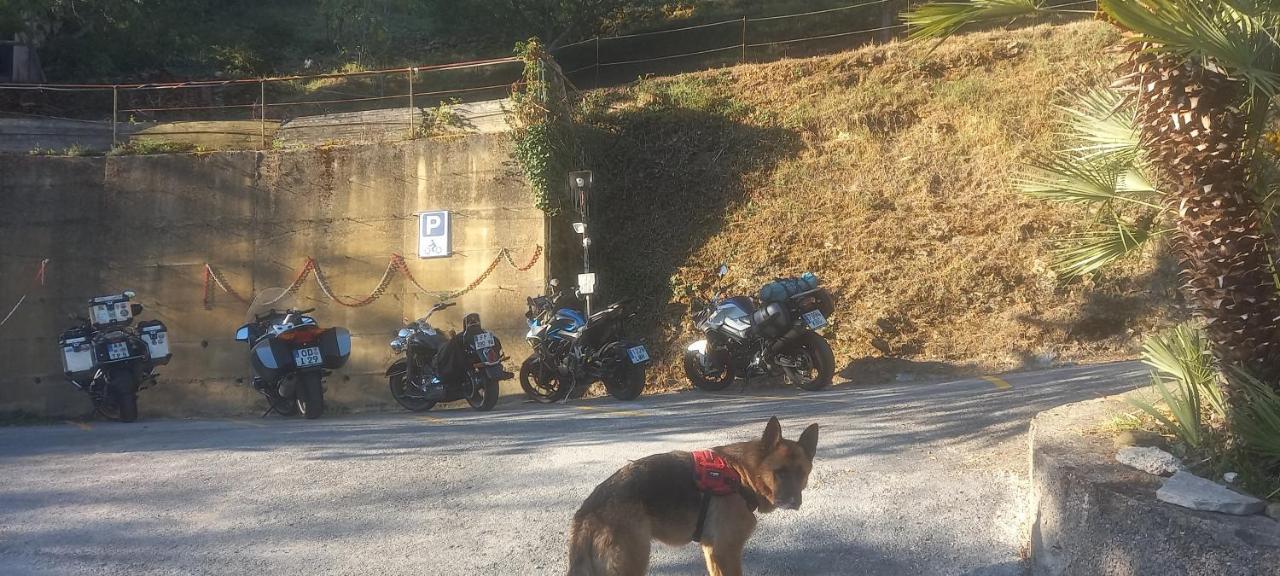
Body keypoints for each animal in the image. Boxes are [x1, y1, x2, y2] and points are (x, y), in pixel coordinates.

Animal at [570, 417, 819, 576]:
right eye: (780, 473)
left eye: (802, 473)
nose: (793, 502)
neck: (742, 474)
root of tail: (589, 508)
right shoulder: (725, 550)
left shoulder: (712, 551)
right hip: (632, 562)